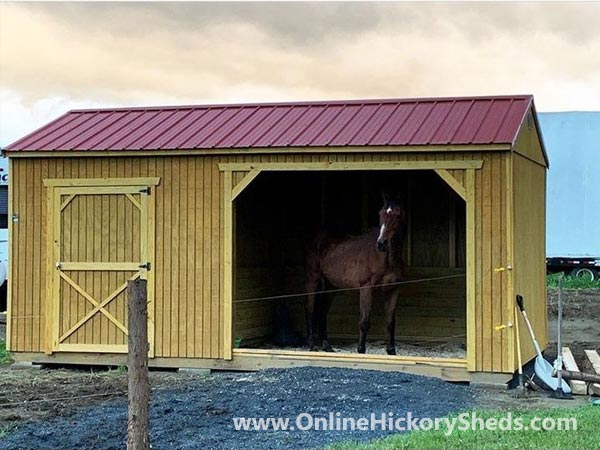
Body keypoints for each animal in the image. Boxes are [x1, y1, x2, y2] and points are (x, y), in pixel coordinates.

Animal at [304, 193, 408, 356]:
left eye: (397, 215)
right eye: (380, 213)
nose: (381, 243)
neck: (386, 257)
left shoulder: (393, 289)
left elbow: (391, 321)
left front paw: (391, 351)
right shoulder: (366, 288)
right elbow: (364, 321)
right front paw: (361, 350)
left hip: (331, 285)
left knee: (322, 311)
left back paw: (327, 346)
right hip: (312, 278)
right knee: (310, 308)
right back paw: (312, 345)